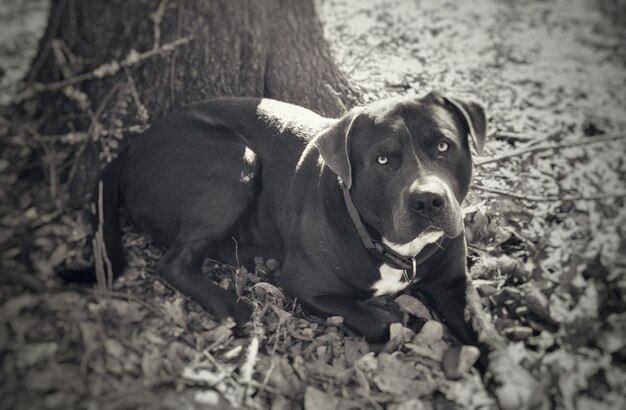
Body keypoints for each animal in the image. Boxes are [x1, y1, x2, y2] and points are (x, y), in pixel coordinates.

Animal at [67, 92, 536, 406]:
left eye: (443, 146)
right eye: (383, 160)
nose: (427, 201)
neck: (392, 247)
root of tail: (129, 150)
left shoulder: (453, 283)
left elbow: (484, 328)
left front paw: (512, 379)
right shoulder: (307, 287)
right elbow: (382, 321)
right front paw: (407, 323)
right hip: (234, 161)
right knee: (174, 261)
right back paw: (231, 304)